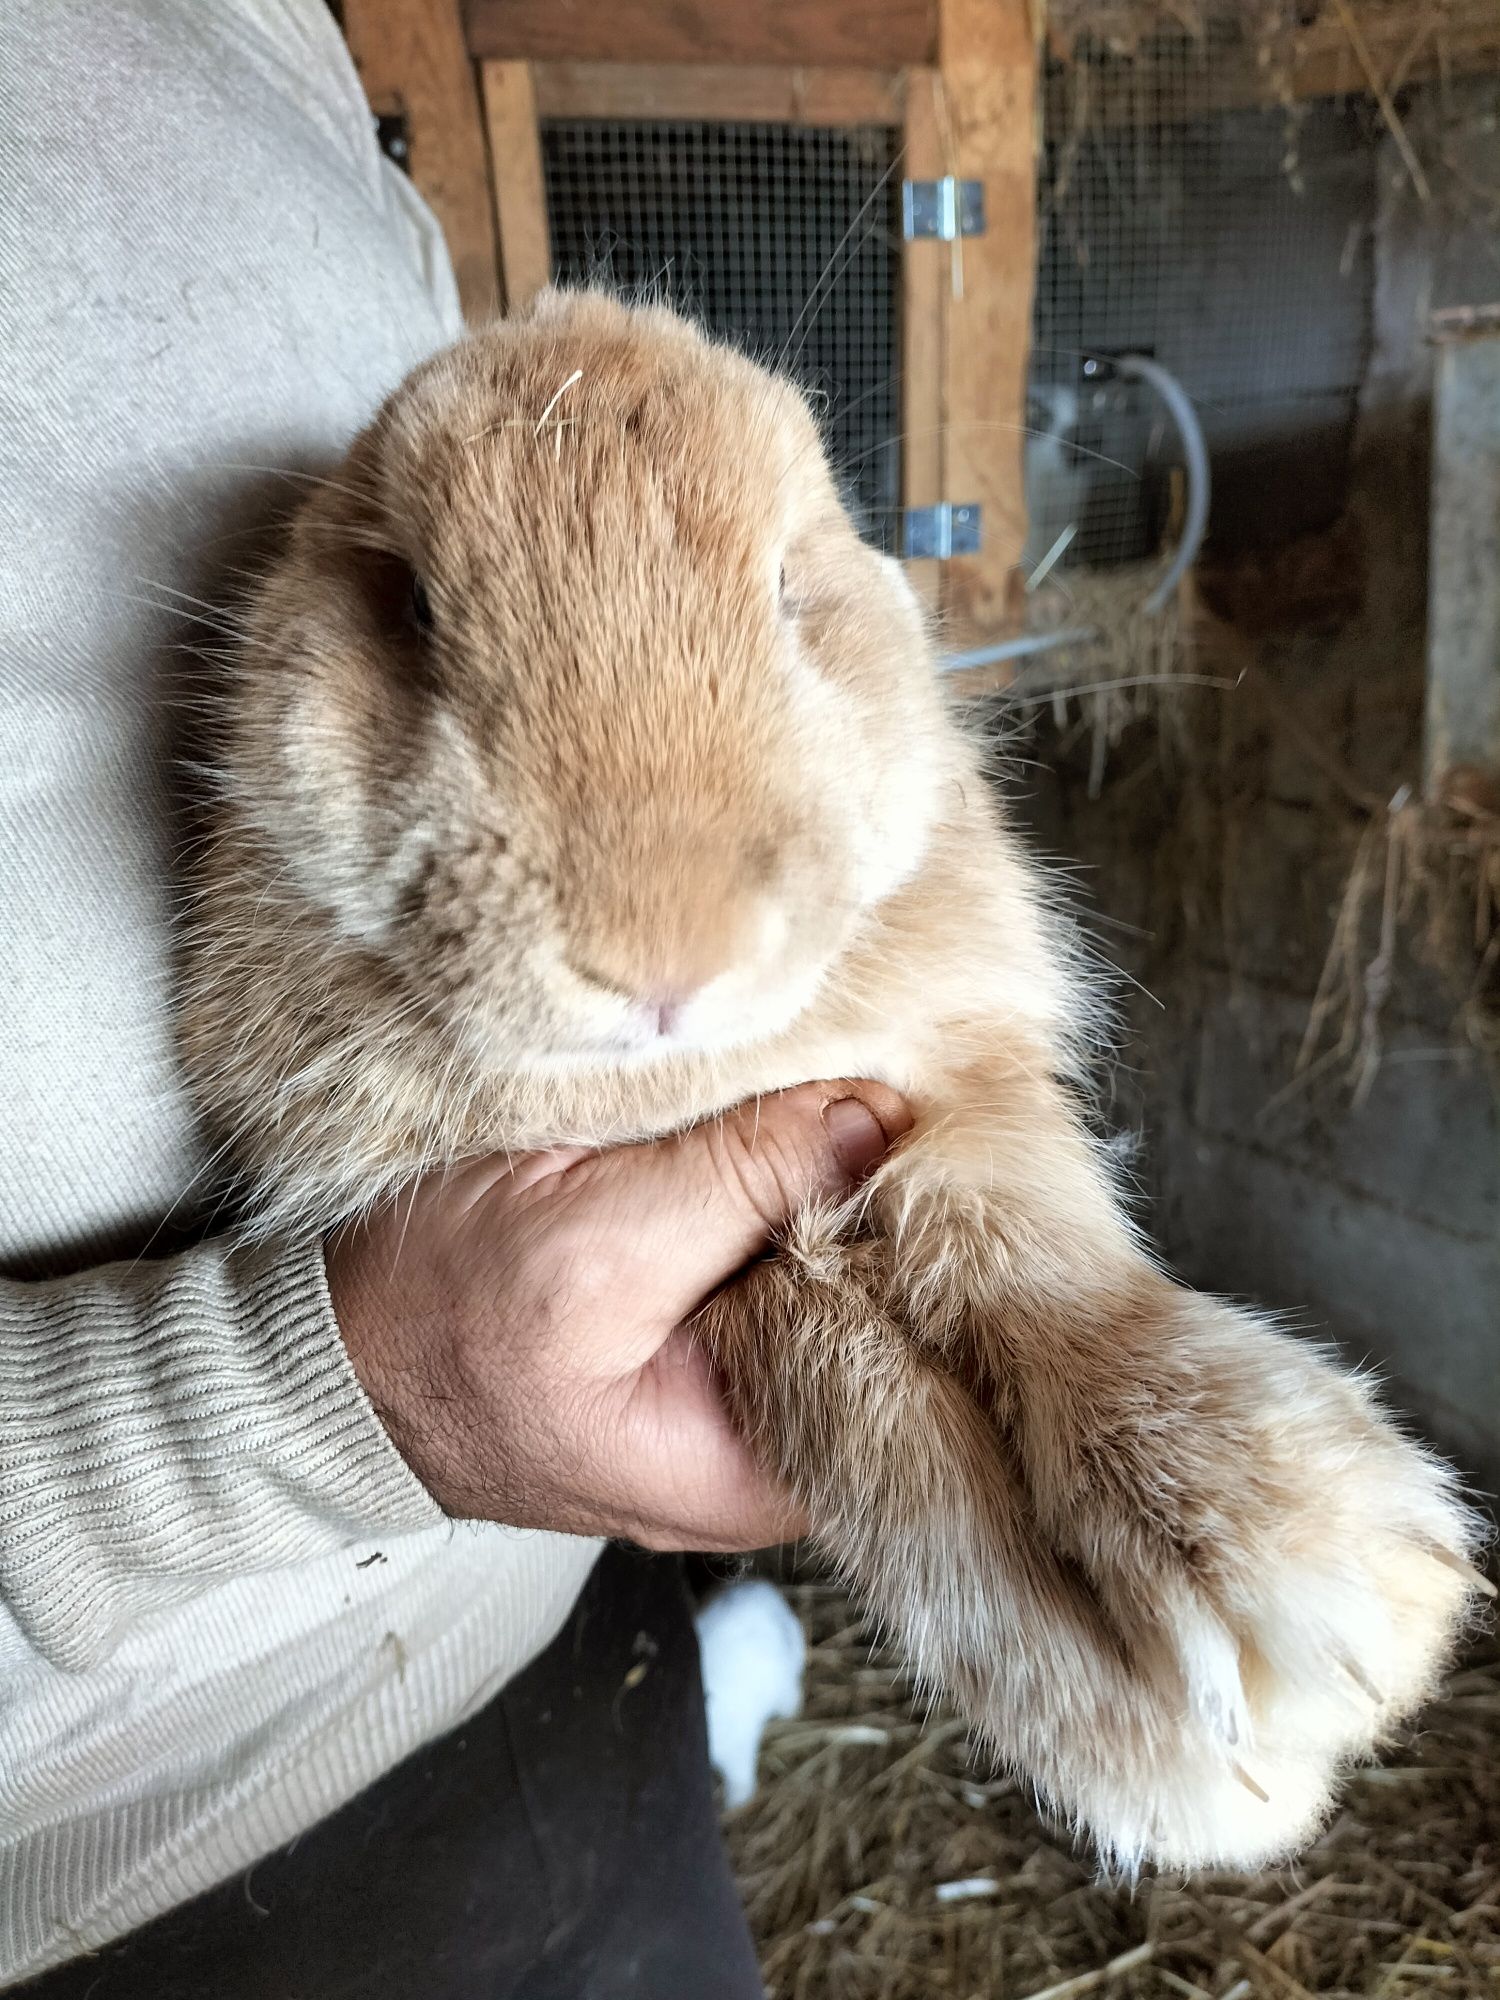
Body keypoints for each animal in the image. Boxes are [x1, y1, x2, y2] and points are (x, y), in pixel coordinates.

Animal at [179, 292, 1496, 1872]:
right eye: (409, 610)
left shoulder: (953, 1078)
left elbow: (1023, 1247)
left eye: (789, 585)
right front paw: (1153, 1745)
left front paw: (1312, 1565)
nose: (663, 953)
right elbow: (826, 1360)